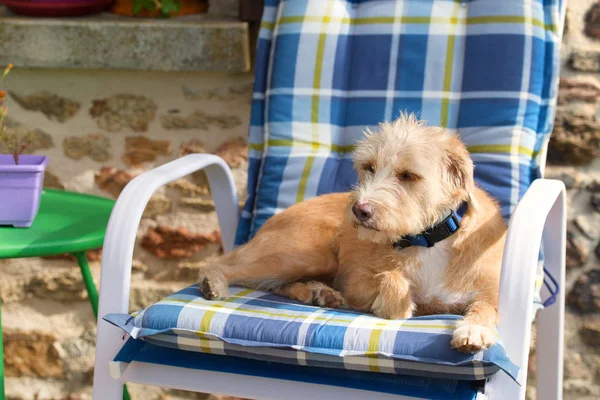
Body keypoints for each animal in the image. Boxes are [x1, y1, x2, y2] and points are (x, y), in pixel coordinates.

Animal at [200, 113, 506, 354]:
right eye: (369, 168)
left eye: (408, 175)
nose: (359, 210)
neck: (427, 239)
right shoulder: (354, 281)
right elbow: (393, 279)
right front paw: (393, 305)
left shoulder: (488, 293)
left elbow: (486, 308)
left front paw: (473, 330)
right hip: (309, 255)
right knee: (226, 265)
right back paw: (214, 283)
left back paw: (317, 292)